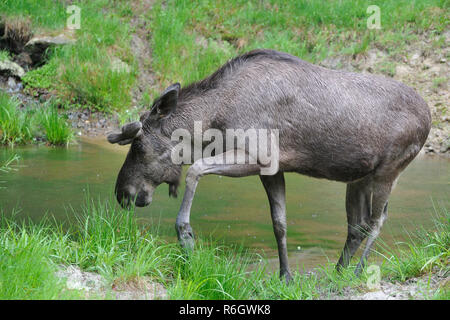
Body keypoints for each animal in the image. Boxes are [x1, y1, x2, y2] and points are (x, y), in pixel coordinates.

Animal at [107, 48, 430, 282]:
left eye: (138, 145)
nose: (122, 192)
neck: (213, 122)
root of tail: (429, 117)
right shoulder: (273, 169)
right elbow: (279, 224)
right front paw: (285, 275)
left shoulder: (258, 155)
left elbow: (196, 169)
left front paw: (185, 235)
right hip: (359, 177)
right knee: (357, 225)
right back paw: (338, 272)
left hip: (389, 171)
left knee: (377, 220)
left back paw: (360, 271)